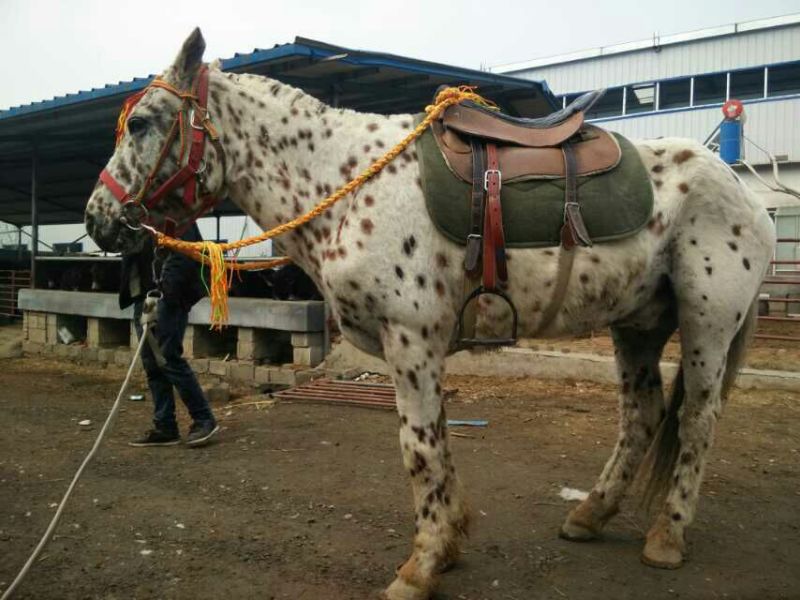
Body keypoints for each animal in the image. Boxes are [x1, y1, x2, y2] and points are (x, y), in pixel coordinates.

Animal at [84, 29, 776, 599]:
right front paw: (448, 543)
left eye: (140, 123)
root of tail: (746, 193)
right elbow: (437, 442)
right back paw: (590, 514)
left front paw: (420, 566)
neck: (347, 186)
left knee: (695, 422)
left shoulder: (411, 340)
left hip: (707, 325)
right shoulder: (422, 347)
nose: (97, 217)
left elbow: (417, 448)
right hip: (637, 324)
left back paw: (667, 537)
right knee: (642, 417)